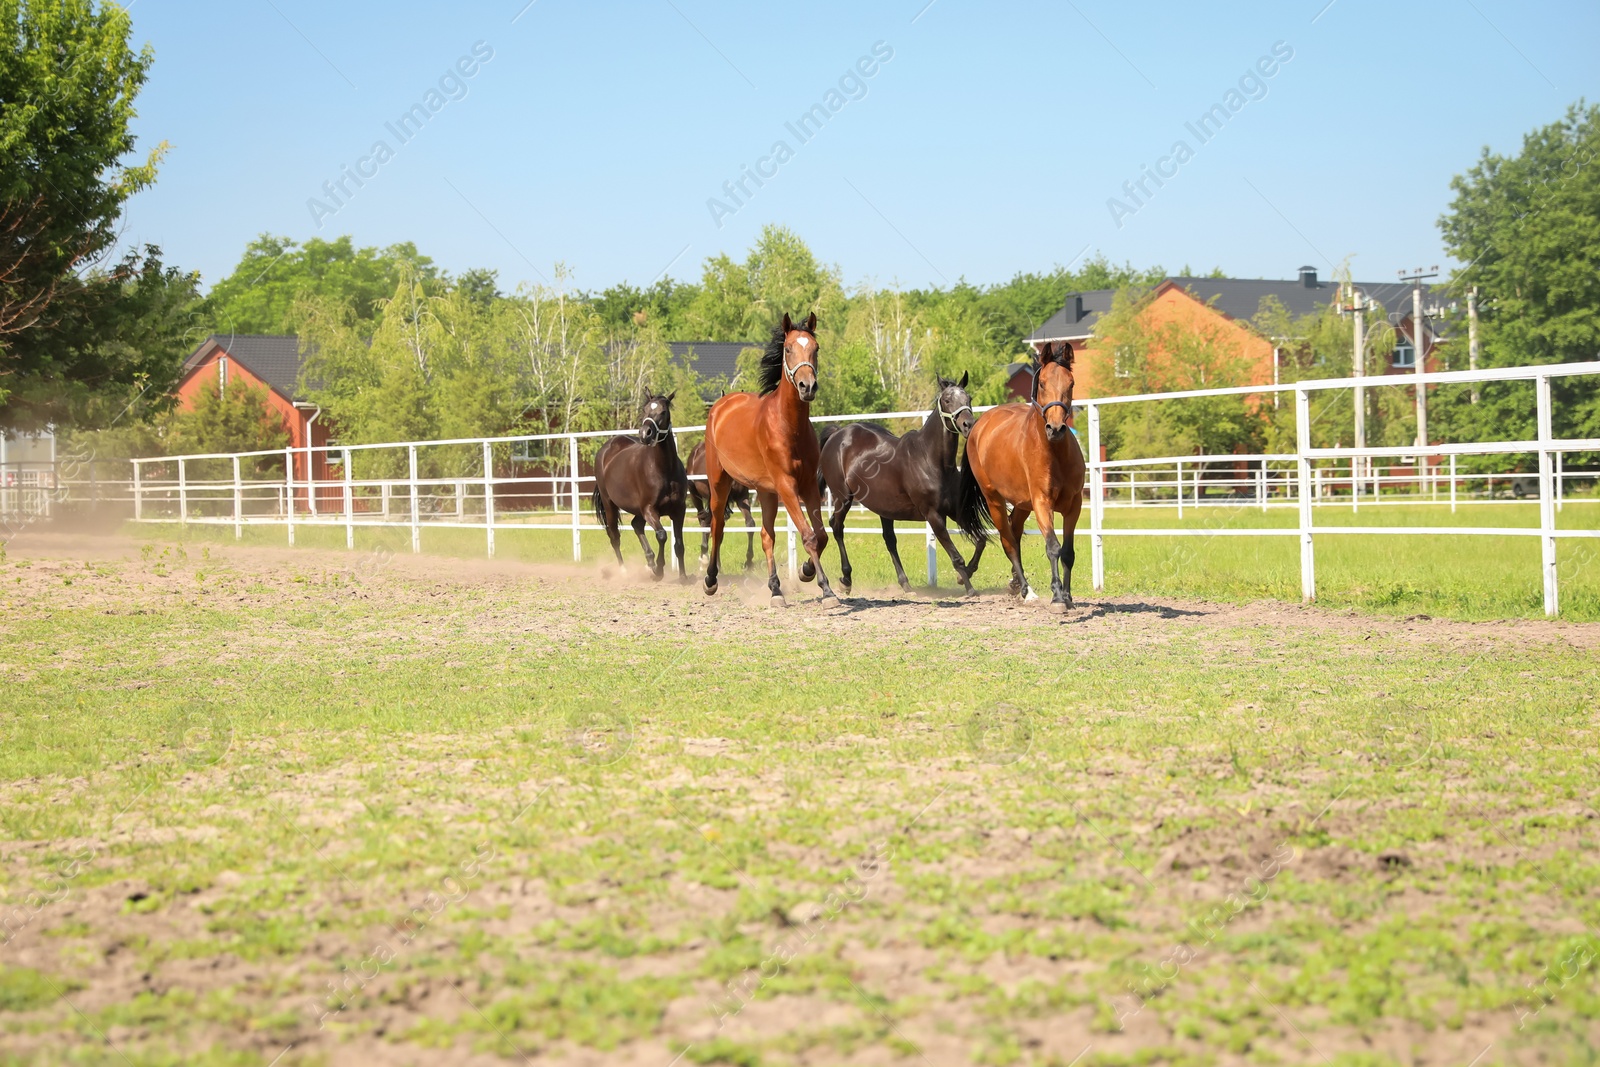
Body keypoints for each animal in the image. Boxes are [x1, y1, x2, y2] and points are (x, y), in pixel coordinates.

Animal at [588, 391, 688, 579]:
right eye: (645, 409)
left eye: (663, 411)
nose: (645, 433)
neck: (664, 469)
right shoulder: (649, 509)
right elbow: (662, 535)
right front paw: (659, 569)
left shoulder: (679, 510)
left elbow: (679, 545)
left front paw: (683, 577)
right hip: (610, 504)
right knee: (614, 536)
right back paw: (624, 570)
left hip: (637, 510)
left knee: (636, 525)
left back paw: (649, 562)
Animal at [684, 441, 758, 575]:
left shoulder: (742, 497)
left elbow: (750, 524)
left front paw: (748, 563)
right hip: (694, 495)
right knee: (703, 521)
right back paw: (704, 559)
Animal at [707, 313, 844, 604]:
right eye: (788, 349)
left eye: (816, 349)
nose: (807, 386)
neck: (788, 426)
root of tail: (721, 404)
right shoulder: (787, 486)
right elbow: (808, 536)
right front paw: (826, 590)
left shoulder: (808, 486)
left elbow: (821, 535)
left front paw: (806, 571)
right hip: (719, 482)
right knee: (717, 526)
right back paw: (710, 580)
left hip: (765, 491)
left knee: (766, 535)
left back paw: (775, 589)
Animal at [825, 371, 985, 598]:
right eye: (947, 400)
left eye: (968, 398)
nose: (968, 425)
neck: (931, 461)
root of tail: (838, 433)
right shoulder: (934, 515)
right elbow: (956, 556)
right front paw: (969, 588)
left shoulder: (955, 510)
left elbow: (981, 541)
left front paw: (964, 576)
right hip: (843, 497)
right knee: (837, 527)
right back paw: (846, 580)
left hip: (883, 508)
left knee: (889, 539)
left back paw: (906, 585)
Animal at [960, 337, 1088, 614]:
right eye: (1042, 383)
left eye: (1071, 383)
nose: (1056, 428)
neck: (1055, 453)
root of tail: (980, 425)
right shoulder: (1042, 503)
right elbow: (1053, 547)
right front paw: (1057, 597)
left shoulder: (1074, 505)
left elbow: (1068, 552)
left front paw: (1069, 597)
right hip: (994, 500)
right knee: (1008, 541)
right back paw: (1027, 591)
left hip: (1021, 504)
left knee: (1015, 534)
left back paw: (1016, 584)